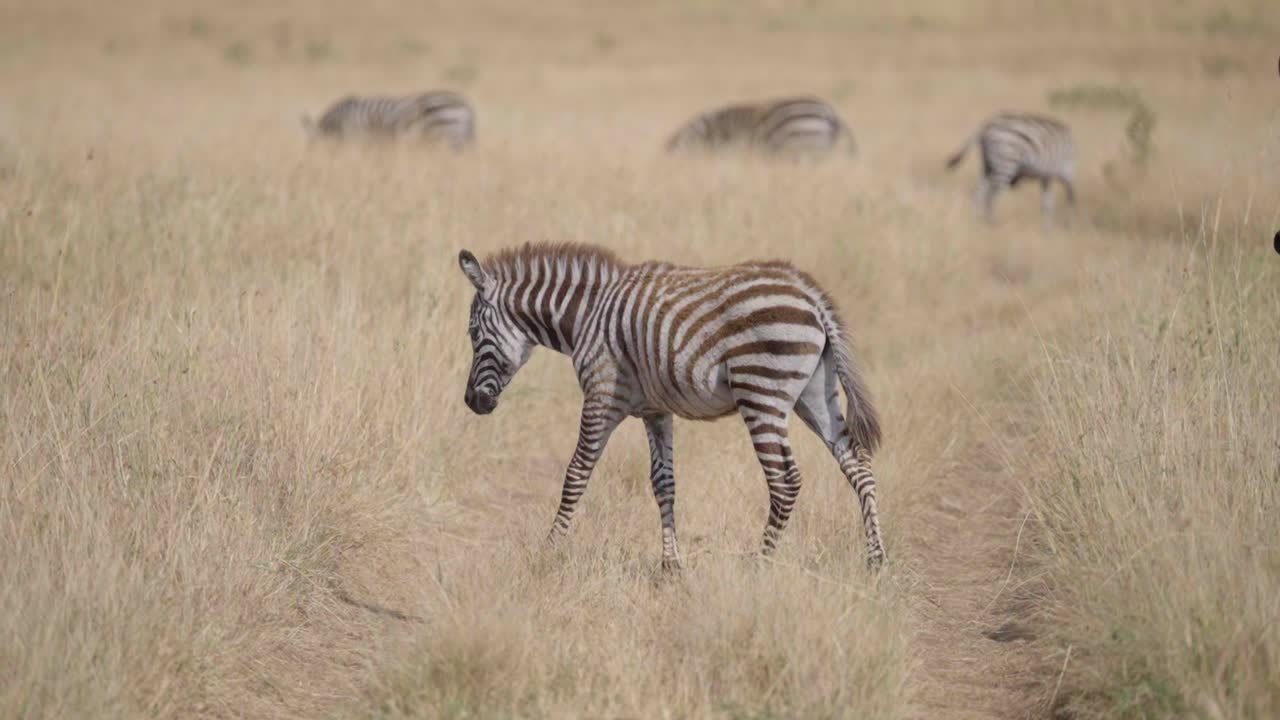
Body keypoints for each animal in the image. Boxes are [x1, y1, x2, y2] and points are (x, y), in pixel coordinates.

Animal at [458, 242, 886, 570]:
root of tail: (810, 295)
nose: (471, 402)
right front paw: (671, 565)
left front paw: (548, 551)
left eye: (474, 333)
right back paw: (876, 560)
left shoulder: (602, 395)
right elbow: (664, 484)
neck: (585, 316)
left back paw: (760, 563)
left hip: (761, 394)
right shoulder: (655, 411)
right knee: (858, 465)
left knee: (786, 481)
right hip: (814, 395)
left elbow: (576, 473)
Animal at [946, 112, 1077, 225]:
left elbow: (1048, 204)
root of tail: (985, 127)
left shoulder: (1047, 176)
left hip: (988, 166)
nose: (1067, 225)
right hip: (1006, 162)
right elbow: (1067, 199)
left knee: (980, 194)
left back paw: (975, 221)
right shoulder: (1062, 172)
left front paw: (1047, 230)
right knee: (991, 197)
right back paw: (991, 223)